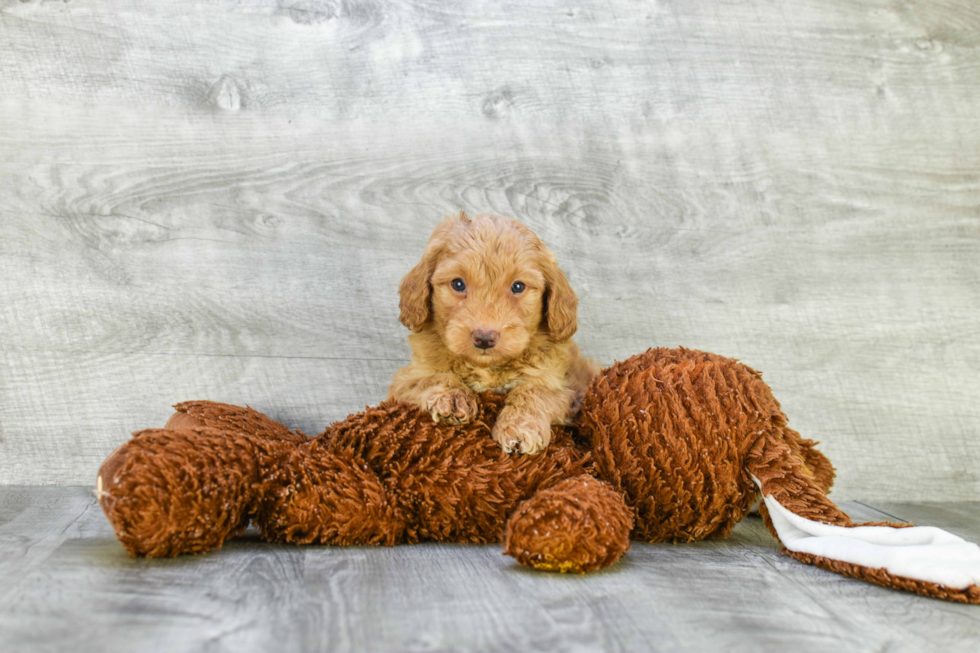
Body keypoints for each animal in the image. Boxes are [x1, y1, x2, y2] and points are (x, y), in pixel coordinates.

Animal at [388, 214, 596, 454]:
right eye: (458, 284)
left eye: (518, 287)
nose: (484, 338)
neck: (489, 368)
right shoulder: (404, 379)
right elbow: (428, 378)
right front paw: (452, 397)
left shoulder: (566, 387)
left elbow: (534, 391)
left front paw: (518, 427)